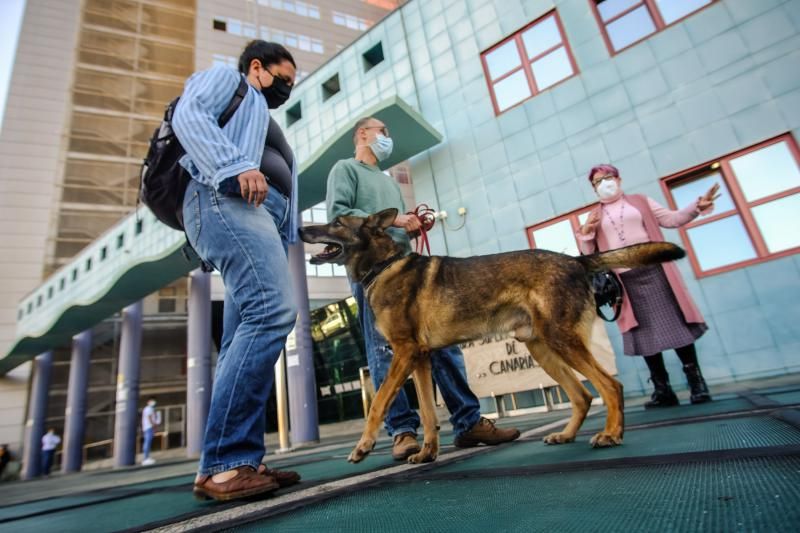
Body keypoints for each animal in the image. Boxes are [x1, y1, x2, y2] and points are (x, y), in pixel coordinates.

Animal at [296, 206, 684, 464]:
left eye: (335, 222)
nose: (300, 232)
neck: (384, 265)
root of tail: (576, 260)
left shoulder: (404, 353)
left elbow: (378, 403)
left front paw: (362, 447)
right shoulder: (419, 360)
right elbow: (429, 415)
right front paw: (427, 453)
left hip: (562, 341)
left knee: (610, 386)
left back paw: (611, 434)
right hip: (543, 349)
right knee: (583, 395)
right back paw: (567, 434)